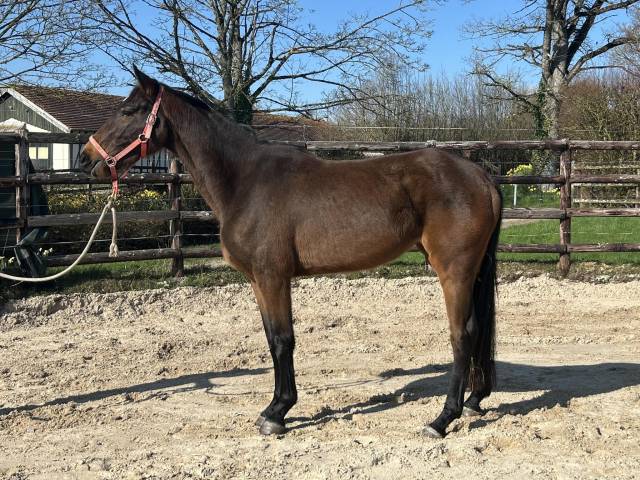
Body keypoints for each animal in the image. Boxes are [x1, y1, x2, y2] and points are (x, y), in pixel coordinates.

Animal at [79, 67, 503, 439]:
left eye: (128, 111)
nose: (86, 158)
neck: (245, 181)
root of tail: (479, 175)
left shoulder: (273, 277)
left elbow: (284, 340)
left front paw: (278, 413)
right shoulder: (257, 282)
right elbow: (271, 339)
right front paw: (273, 407)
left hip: (454, 271)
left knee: (462, 334)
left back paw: (442, 419)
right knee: (477, 331)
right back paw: (473, 401)